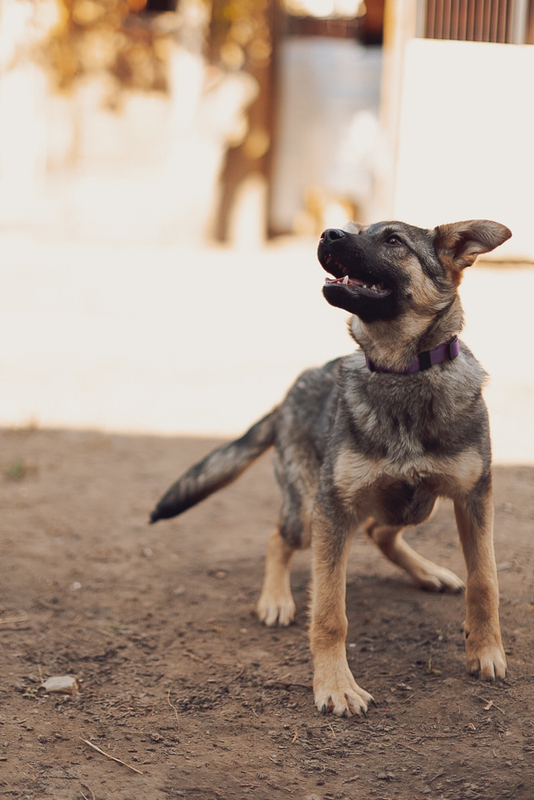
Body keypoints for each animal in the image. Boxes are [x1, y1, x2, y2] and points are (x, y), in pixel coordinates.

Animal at [153, 219, 512, 720]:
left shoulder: (474, 497)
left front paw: (485, 650)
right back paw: (276, 599)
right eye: (359, 229)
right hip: (310, 514)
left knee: (379, 531)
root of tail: (291, 391)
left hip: (418, 505)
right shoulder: (333, 510)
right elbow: (328, 612)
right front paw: (335, 685)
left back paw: (428, 573)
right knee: (278, 538)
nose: (328, 233)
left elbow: (485, 581)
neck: (402, 371)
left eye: (393, 240)